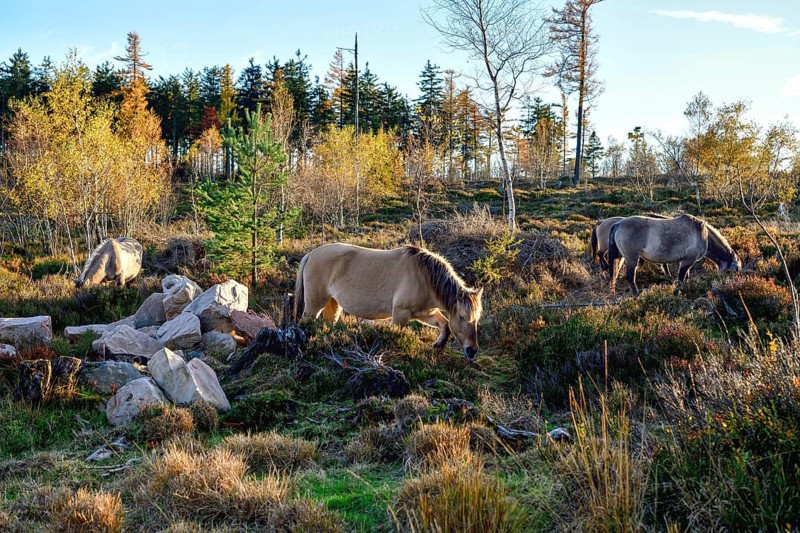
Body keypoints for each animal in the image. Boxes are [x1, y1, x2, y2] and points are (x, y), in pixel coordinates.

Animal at [293, 243, 484, 358]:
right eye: (461, 317)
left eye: (477, 319)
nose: (472, 350)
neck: (425, 277)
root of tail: (311, 254)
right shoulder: (401, 314)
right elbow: (395, 335)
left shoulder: (423, 313)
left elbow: (445, 324)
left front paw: (438, 345)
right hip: (314, 305)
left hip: (333, 304)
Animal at [608, 214, 739, 295]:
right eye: (732, 271)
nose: (728, 285)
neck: (703, 235)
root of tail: (618, 224)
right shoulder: (688, 261)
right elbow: (680, 278)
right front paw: (677, 292)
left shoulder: (685, 261)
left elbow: (686, 277)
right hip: (631, 258)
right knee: (630, 276)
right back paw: (637, 295)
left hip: (621, 258)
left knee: (615, 273)